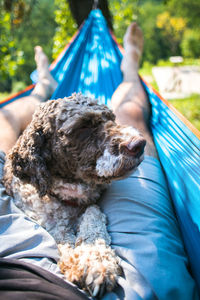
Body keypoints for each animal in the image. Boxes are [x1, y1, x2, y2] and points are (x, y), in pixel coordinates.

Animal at [3, 94, 146, 298]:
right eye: (82, 127)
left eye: (111, 118)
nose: (139, 144)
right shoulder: (49, 222)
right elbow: (63, 237)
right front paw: (92, 264)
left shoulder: (90, 205)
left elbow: (93, 215)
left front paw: (96, 261)